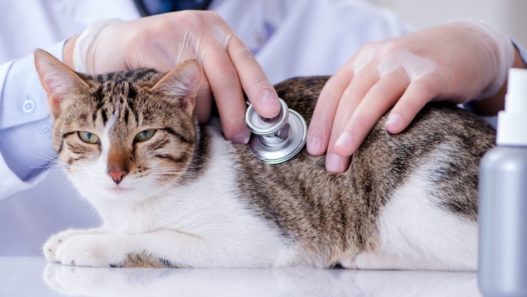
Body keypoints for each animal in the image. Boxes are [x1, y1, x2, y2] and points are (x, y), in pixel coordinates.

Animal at [35, 49, 498, 270]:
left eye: (145, 135)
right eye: (88, 137)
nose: (115, 173)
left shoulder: (259, 240)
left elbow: (155, 239)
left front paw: (92, 243)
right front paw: (79, 232)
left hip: (418, 204)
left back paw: (371, 257)